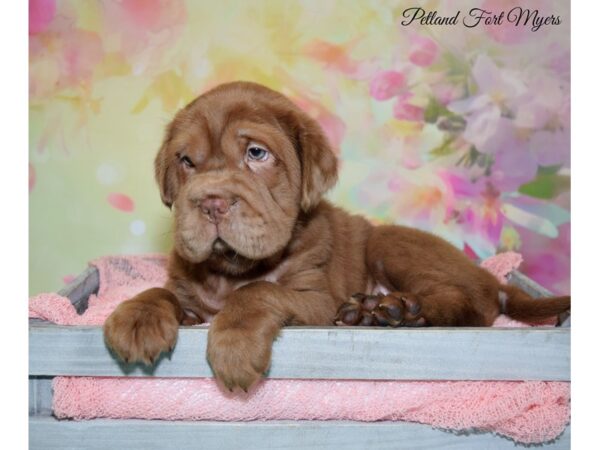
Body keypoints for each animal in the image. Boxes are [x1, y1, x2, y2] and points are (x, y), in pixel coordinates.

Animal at [104, 82, 572, 392]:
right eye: (186, 161)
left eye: (257, 153)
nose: (212, 202)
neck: (232, 269)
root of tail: (493, 277)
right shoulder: (187, 289)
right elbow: (159, 291)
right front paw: (137, 318)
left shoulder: (316, 299)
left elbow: (256, 293)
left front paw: (234, 346)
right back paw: (370, 312)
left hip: (391, 244)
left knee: (471, 306)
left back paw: (399, 310)